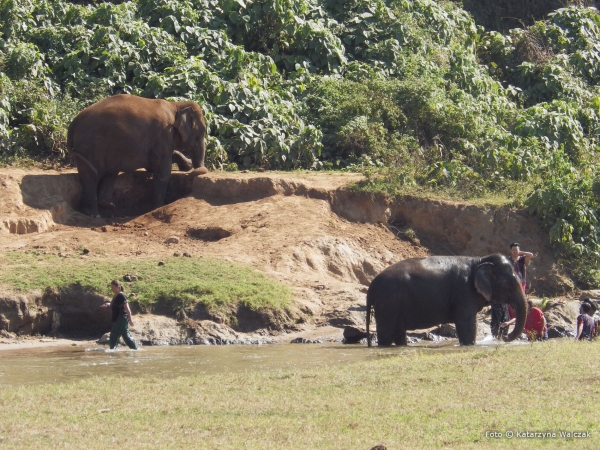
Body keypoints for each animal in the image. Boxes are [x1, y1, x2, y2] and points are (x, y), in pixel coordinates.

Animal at [67, 93, 209, 216]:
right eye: (202, 131)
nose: (197, 169)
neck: (176, 105)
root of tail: (73, 123)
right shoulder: (163, 134)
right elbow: (162, 171)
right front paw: (158, 206)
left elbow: (152, 166)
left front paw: (187, 165)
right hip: (90, 146)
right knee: (91, 176)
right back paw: (94, 214)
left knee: (110, 172)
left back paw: (107, 206)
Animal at [366, 255, 524, 346]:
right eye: (508, 284)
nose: (505, 337)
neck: (479, 260)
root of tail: (372, 286)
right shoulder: (463, 292)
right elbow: (466, 323)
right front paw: (469, 345)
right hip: (388, 302)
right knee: (386, 333)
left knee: (399, 332)